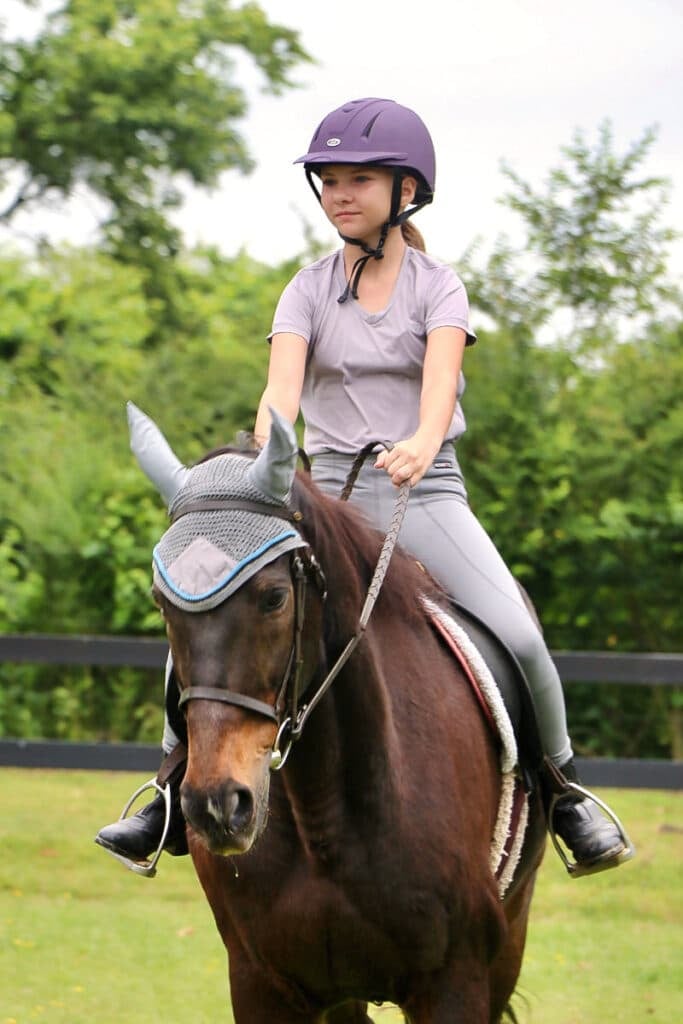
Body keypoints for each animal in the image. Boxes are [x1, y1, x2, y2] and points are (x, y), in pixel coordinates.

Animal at [129, 402, 547, 1023]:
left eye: (274, 597)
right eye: (163, 602)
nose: (217, 805)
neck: (324, 818)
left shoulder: (458, 980)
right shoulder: (262, 983)